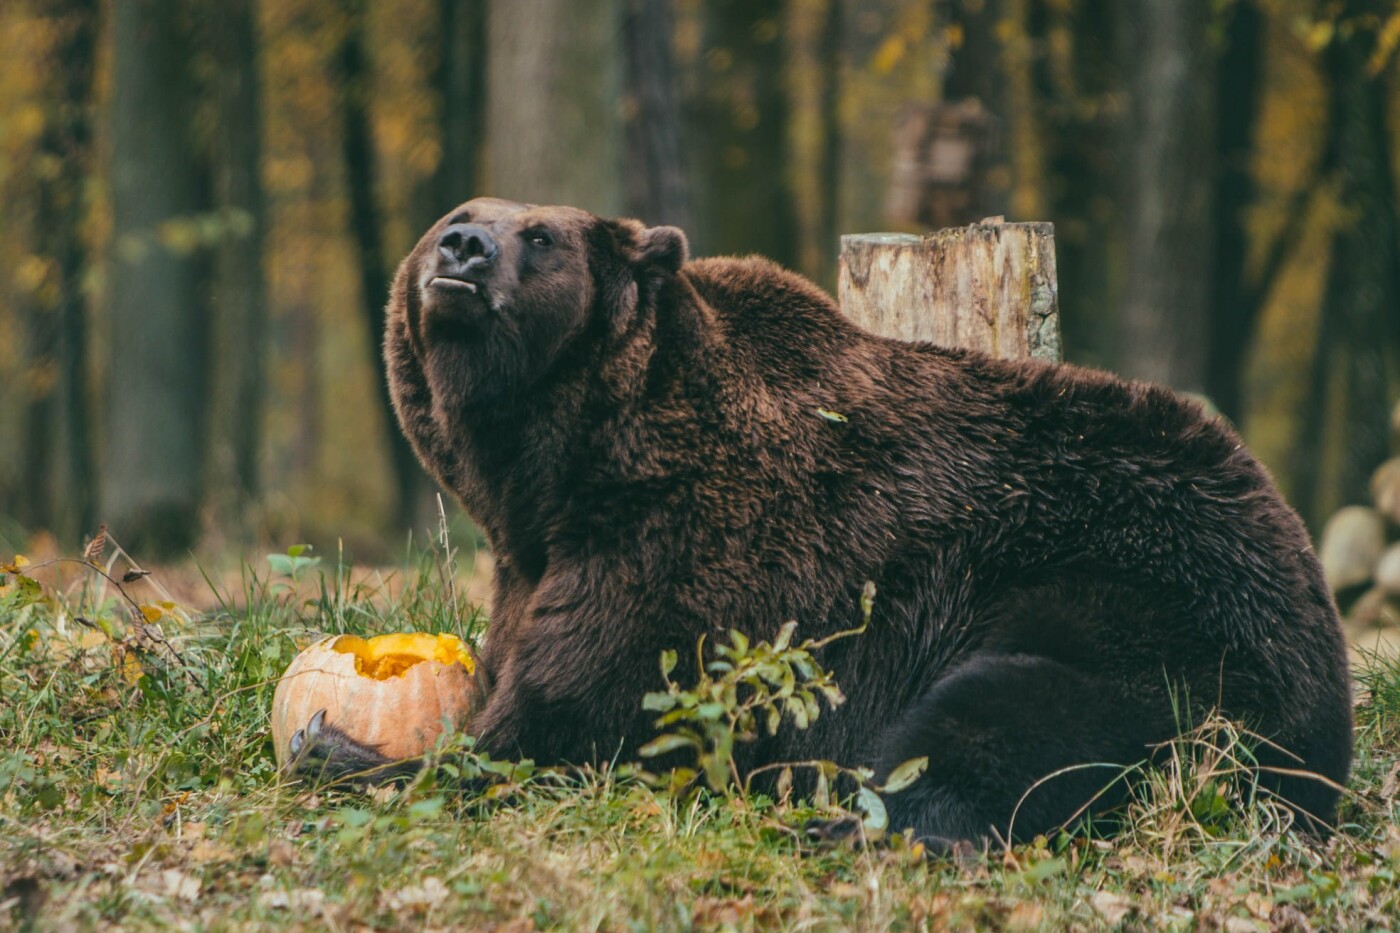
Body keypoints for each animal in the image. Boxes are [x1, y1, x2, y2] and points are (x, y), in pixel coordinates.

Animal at [312, 194, 1349, 840]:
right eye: (456, 216)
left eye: (541, 237)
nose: (463, 252)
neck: (567, 468)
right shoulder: (538, 560)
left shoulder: (689, 556)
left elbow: (575, 717)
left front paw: (340, 745)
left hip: (1160, 612)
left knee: (997, 722)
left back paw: (837, 821)